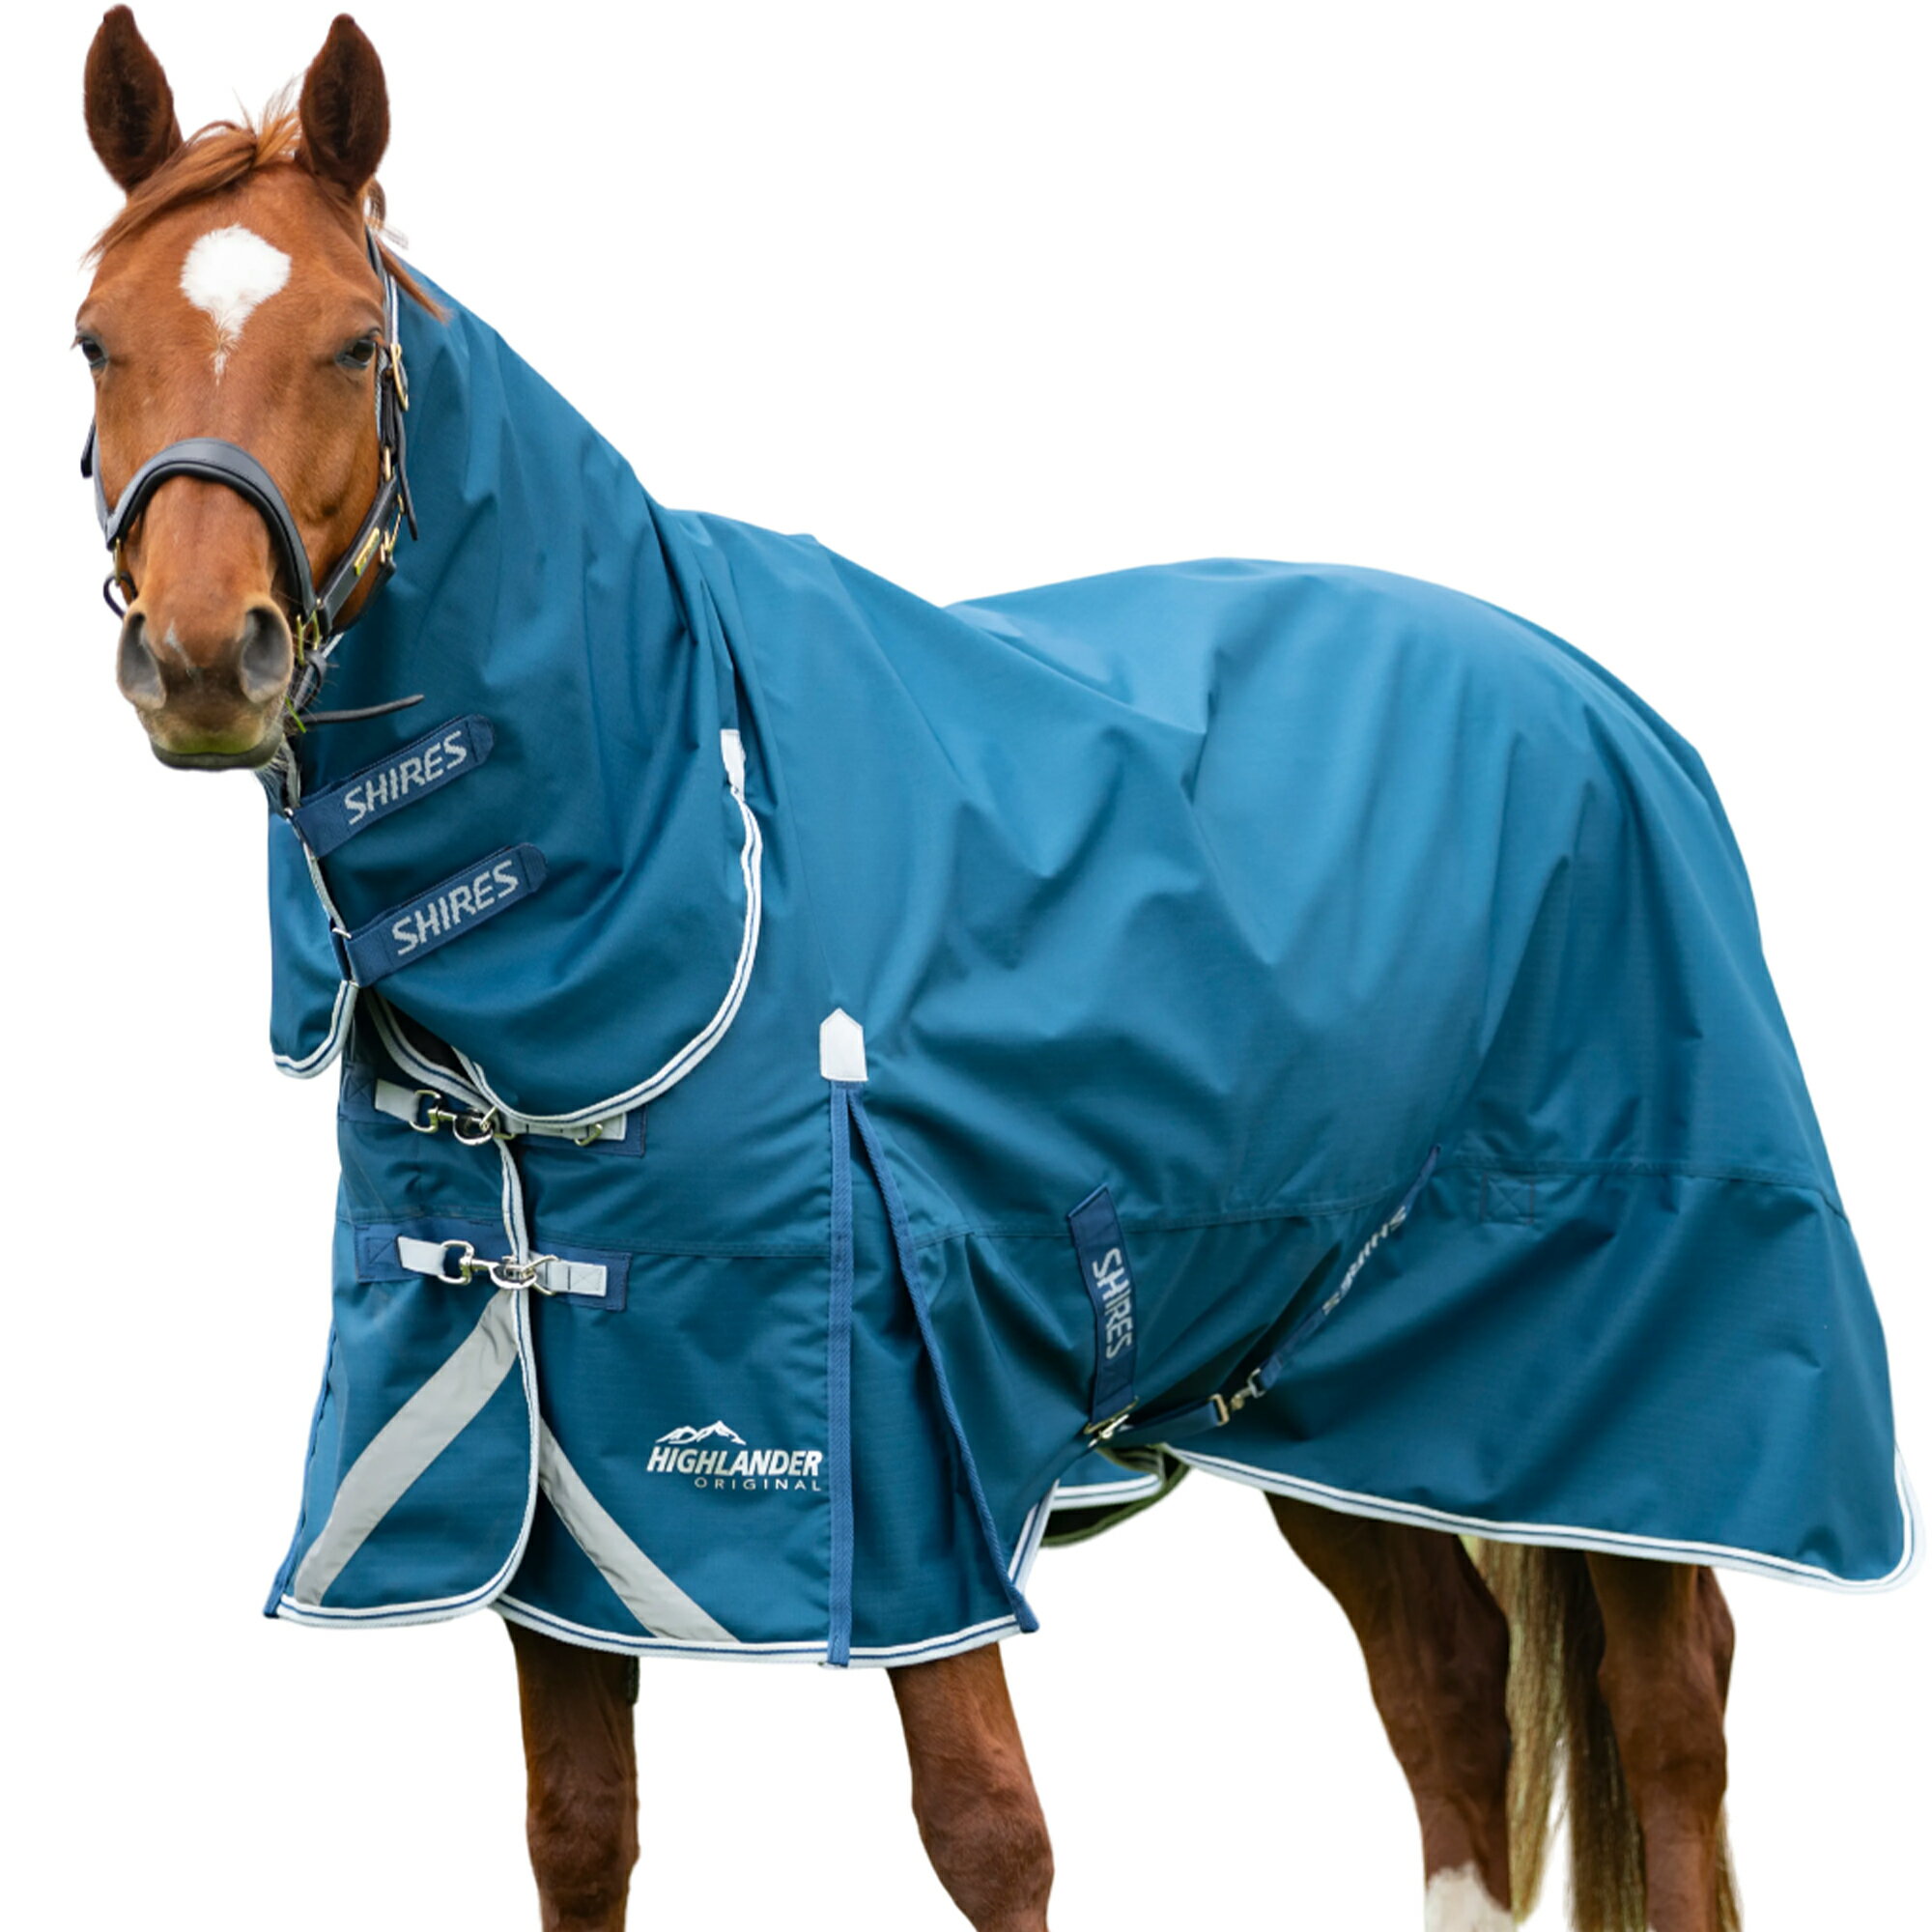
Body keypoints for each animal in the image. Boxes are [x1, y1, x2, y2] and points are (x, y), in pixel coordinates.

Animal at [74, 12, 1909, 1930]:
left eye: (354, 346)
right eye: (95, 339)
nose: (202, 660)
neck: (675, 868)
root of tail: (1598, 696)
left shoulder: (903, 1450)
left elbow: (985, 1828)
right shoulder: (543, 1495)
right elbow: (578, 1830)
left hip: (1637, 1364)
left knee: (1672, 1716)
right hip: (1333, 1381)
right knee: (1449, 1691)